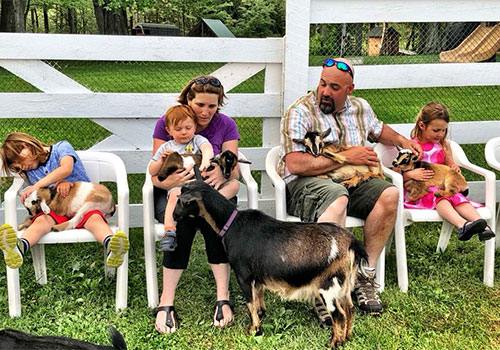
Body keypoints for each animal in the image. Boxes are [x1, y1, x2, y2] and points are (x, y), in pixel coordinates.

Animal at [175, 179, 368, 348]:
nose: (174, 216)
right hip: (344, 285)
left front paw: (254, 330)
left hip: (329, 285)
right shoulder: (257, 276)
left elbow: (250, 302)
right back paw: (347, 336)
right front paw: (261, 315)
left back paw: (335, 343)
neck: (232, 224)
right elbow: (258, 297)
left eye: (182, 201)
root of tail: (351, 242)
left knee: (339, 315)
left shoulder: (243, 275)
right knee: (350, 309)